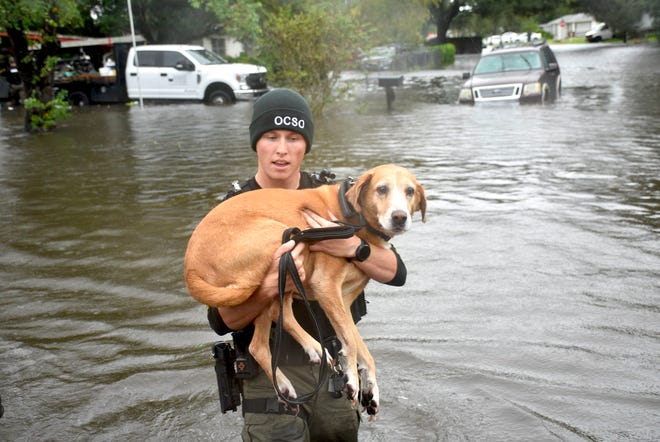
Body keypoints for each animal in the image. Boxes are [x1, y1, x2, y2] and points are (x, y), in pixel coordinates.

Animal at [184, 164, 428, 420]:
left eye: (410, 191)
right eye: (382, 189)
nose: (400, 217)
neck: (354, 216)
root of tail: (191, 267)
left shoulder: (343, 301)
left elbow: (360, 347)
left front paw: (371, 389)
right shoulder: (326, 287)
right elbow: (351, 342)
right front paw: (352, 380)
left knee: (268, 331)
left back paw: (298, 367)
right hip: (283, 246)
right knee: (268, 327)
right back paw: (300, 365)